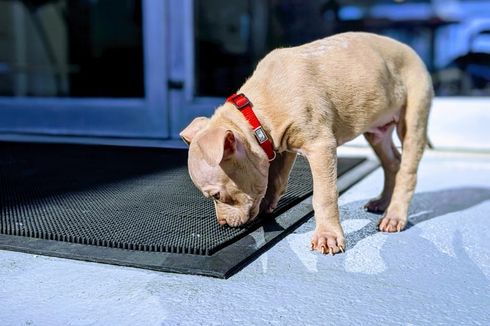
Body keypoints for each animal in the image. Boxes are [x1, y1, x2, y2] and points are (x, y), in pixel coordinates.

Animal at [180, 31, 432, 255]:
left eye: (216, 196)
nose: (222, 223)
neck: (255, 114)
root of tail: (412, 51)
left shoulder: (321, 145)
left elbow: (324, 195)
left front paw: (328, 237)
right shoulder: (282, 144)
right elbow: (276, 179)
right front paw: (268, 205)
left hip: (414, 114)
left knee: (408, 169)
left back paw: (395, 215)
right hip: (377, 130)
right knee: (393, 162)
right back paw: (383, 202)